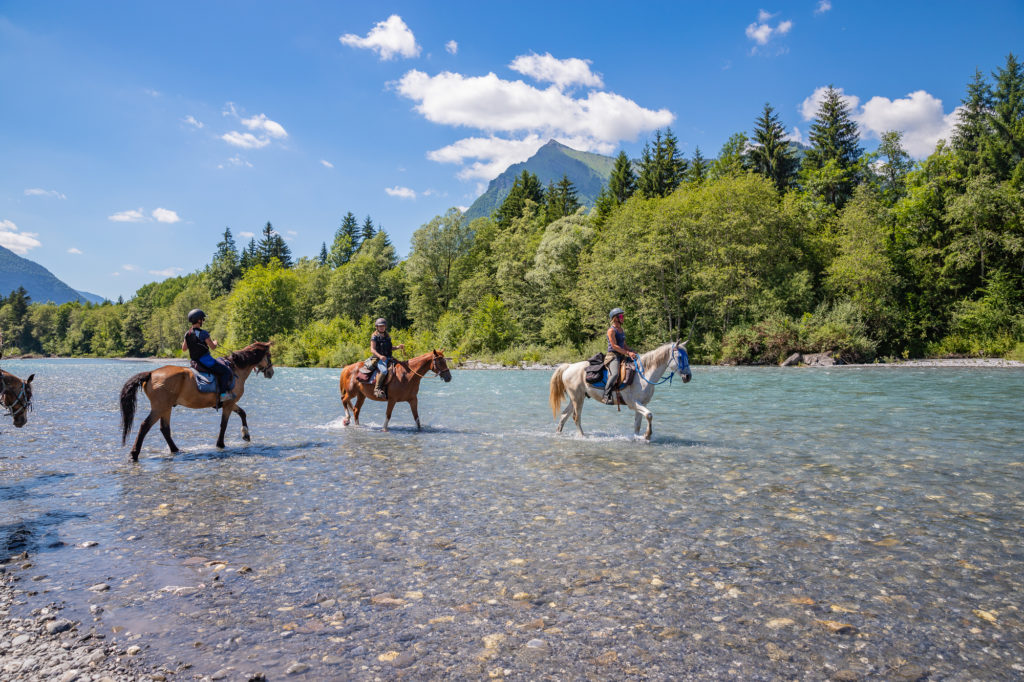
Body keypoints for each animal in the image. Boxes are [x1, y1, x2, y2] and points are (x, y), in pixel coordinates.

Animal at [118, 342, 276, 458]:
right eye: (269, 355)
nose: (271, 372)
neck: (236, 369)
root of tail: (151, 373)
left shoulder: (230, 402)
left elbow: (242, 413)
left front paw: (246, 435)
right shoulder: (229, 403)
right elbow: (224, 425)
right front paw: (220, 444)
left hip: (166, 408)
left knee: (165, 429)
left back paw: (176, 450)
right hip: (160, 407)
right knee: (145, 426)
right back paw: (134, 454)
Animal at [548, 339, 692, 440]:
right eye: (680, 357)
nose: (688, 377)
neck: (643, 375)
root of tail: (568, 366)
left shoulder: (642, 403)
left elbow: (638, 423)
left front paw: (638, 437)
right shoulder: (633, 403)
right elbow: (649, 415)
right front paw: (647, 435)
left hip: (577, 397)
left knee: (564, 415)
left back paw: (558, 433)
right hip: (577, 399)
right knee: (576, 417)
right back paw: (582, 436)